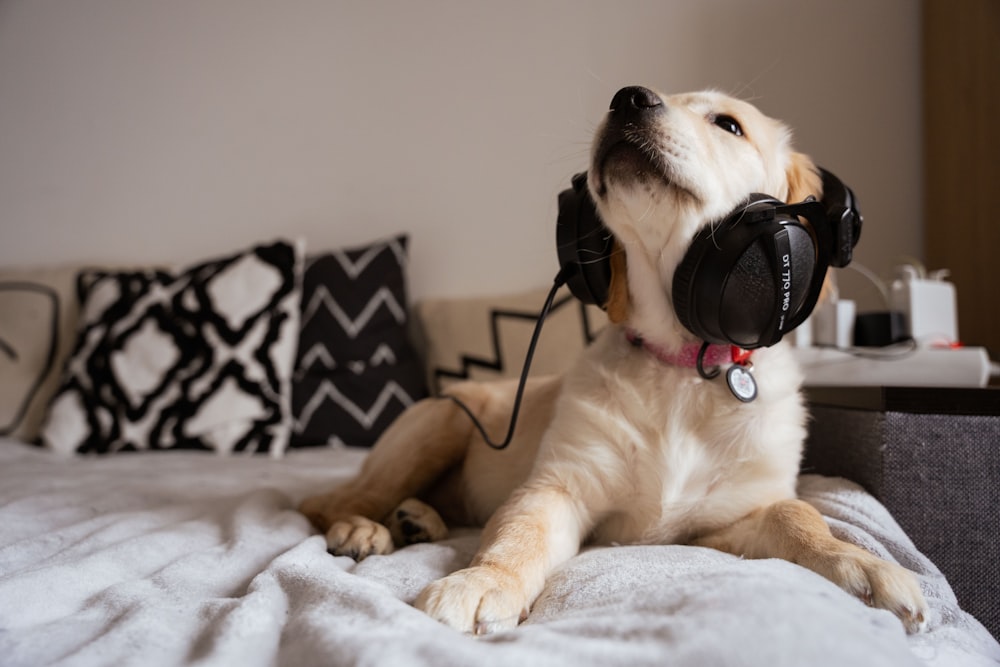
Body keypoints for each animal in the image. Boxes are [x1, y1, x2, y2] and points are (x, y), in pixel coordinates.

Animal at [296, 85, 928, 636]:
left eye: (728, 124)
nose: (628, 98)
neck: (684, 364)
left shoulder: (727, 521)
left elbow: (797, 516)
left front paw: (861, 564)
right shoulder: (559, 487)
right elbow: (517, 535)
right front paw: (483, 580)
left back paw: (418, 519)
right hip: (440, 420)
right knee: (328, 500)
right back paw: (363, 527)